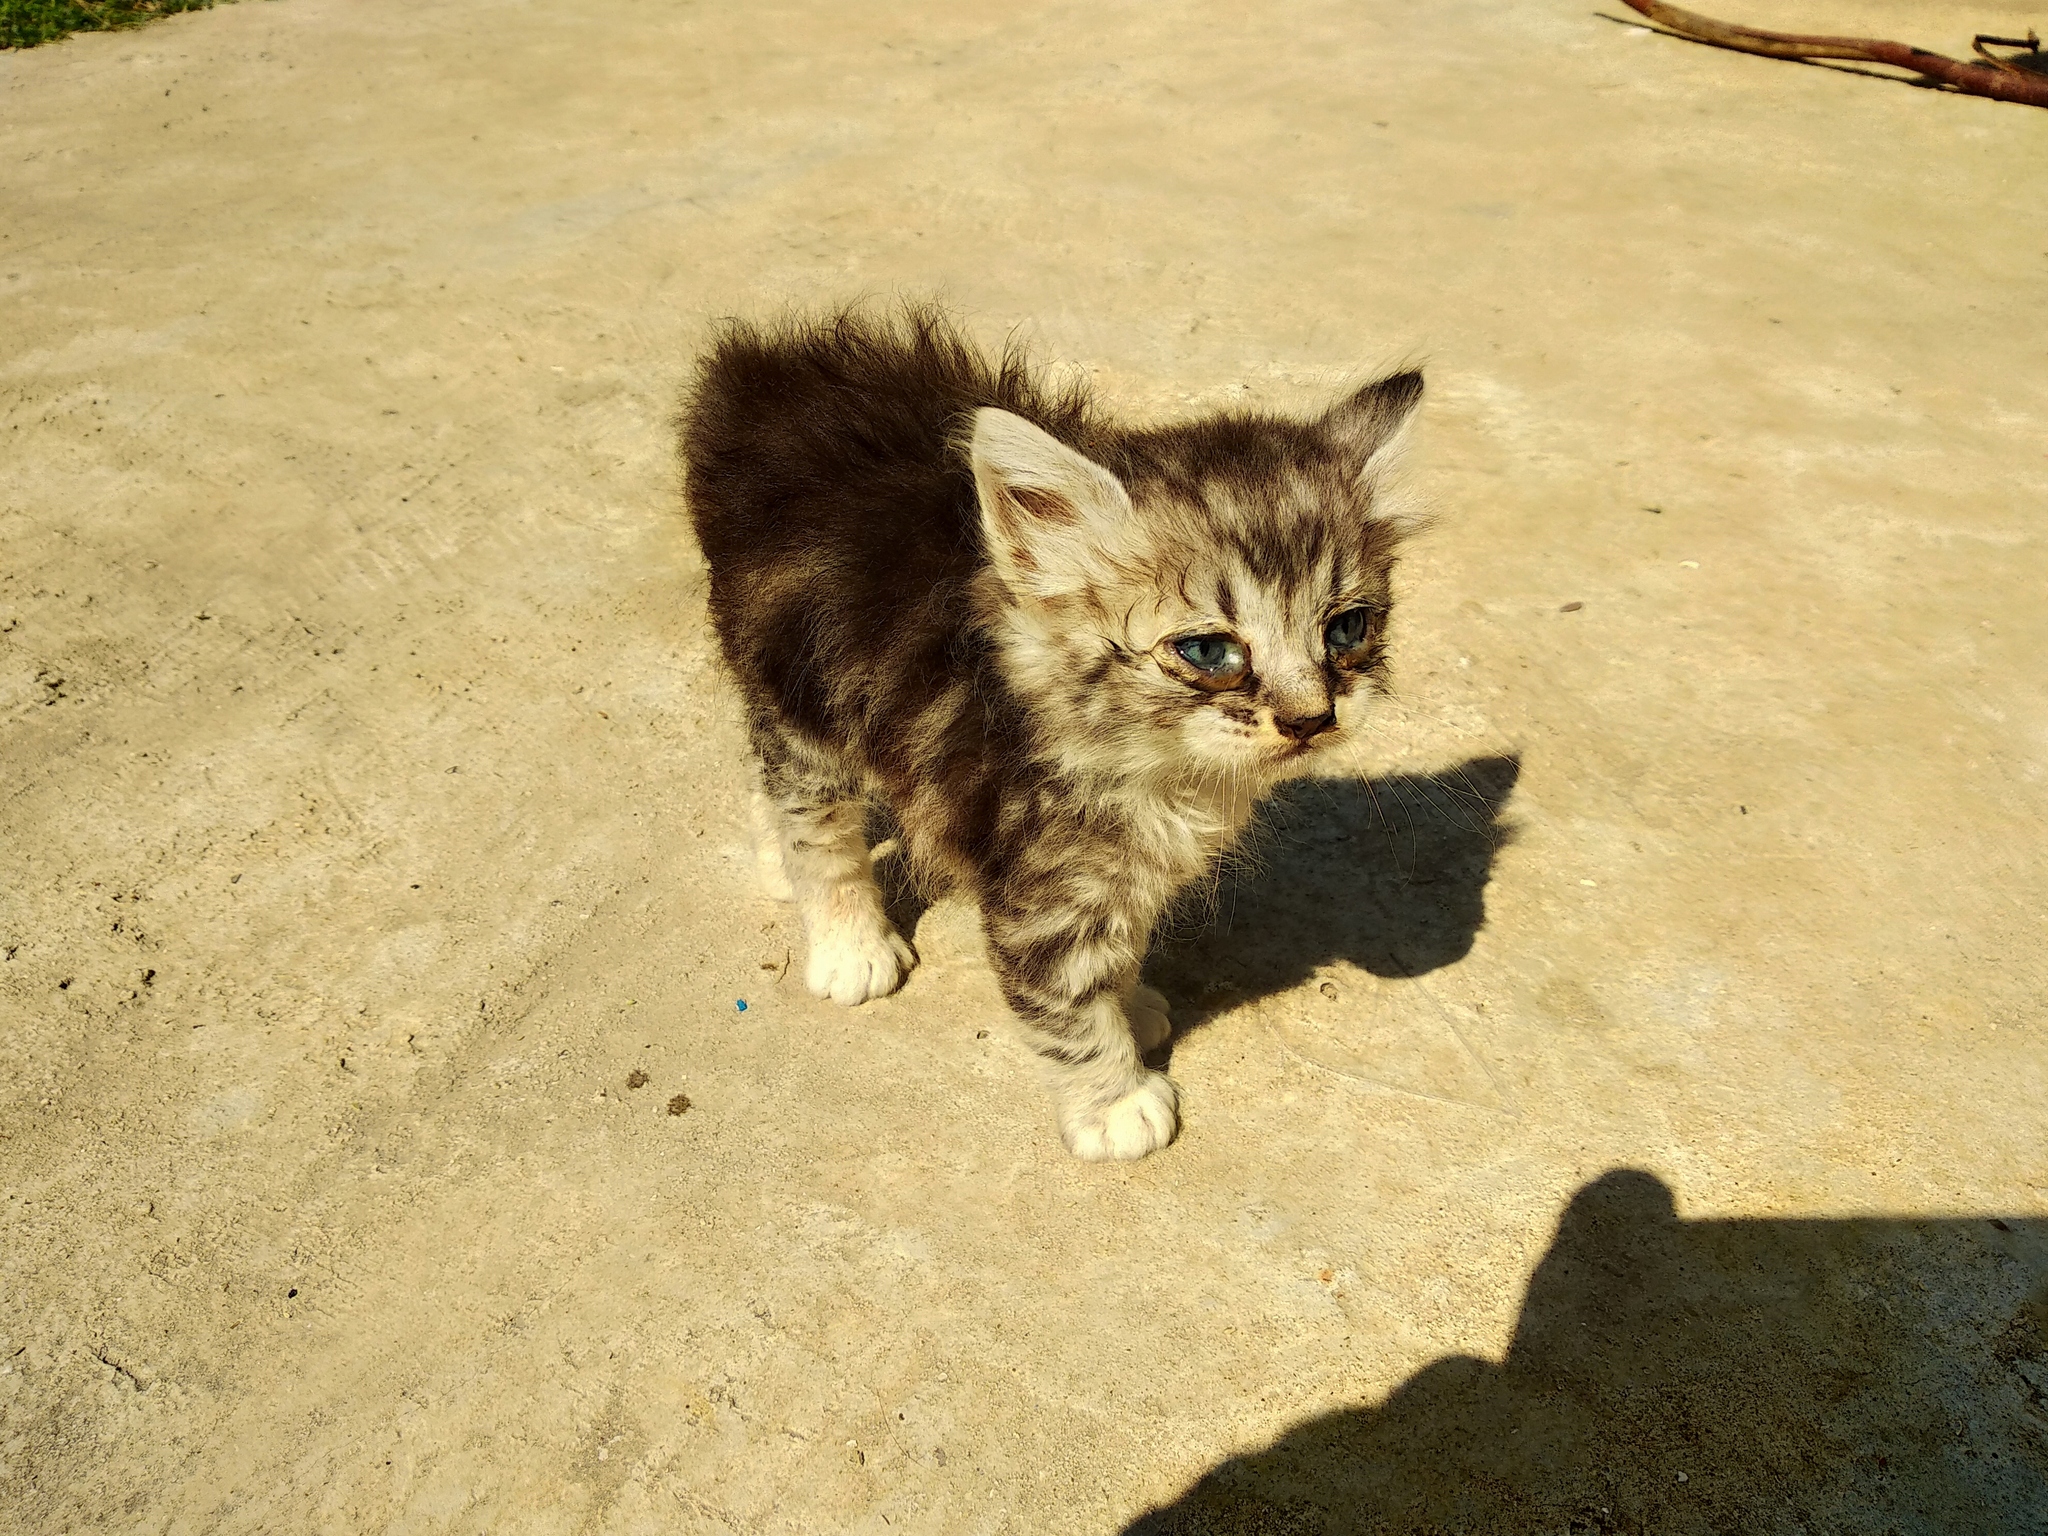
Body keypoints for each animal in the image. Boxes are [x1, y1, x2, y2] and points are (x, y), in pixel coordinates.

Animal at [679, 303, 1417, 1163]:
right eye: (1209, 652)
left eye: (1347, 629)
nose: (1311, 718)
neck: (1157, 768)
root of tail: (769, 374)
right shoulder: (1037, 881)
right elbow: (1065, 1002)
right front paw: (1115, 1101)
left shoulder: (1120, 871)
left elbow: (1121, 948)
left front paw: (1132, 1006)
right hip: (803, 693)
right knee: (811, 813)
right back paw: (847, 943)